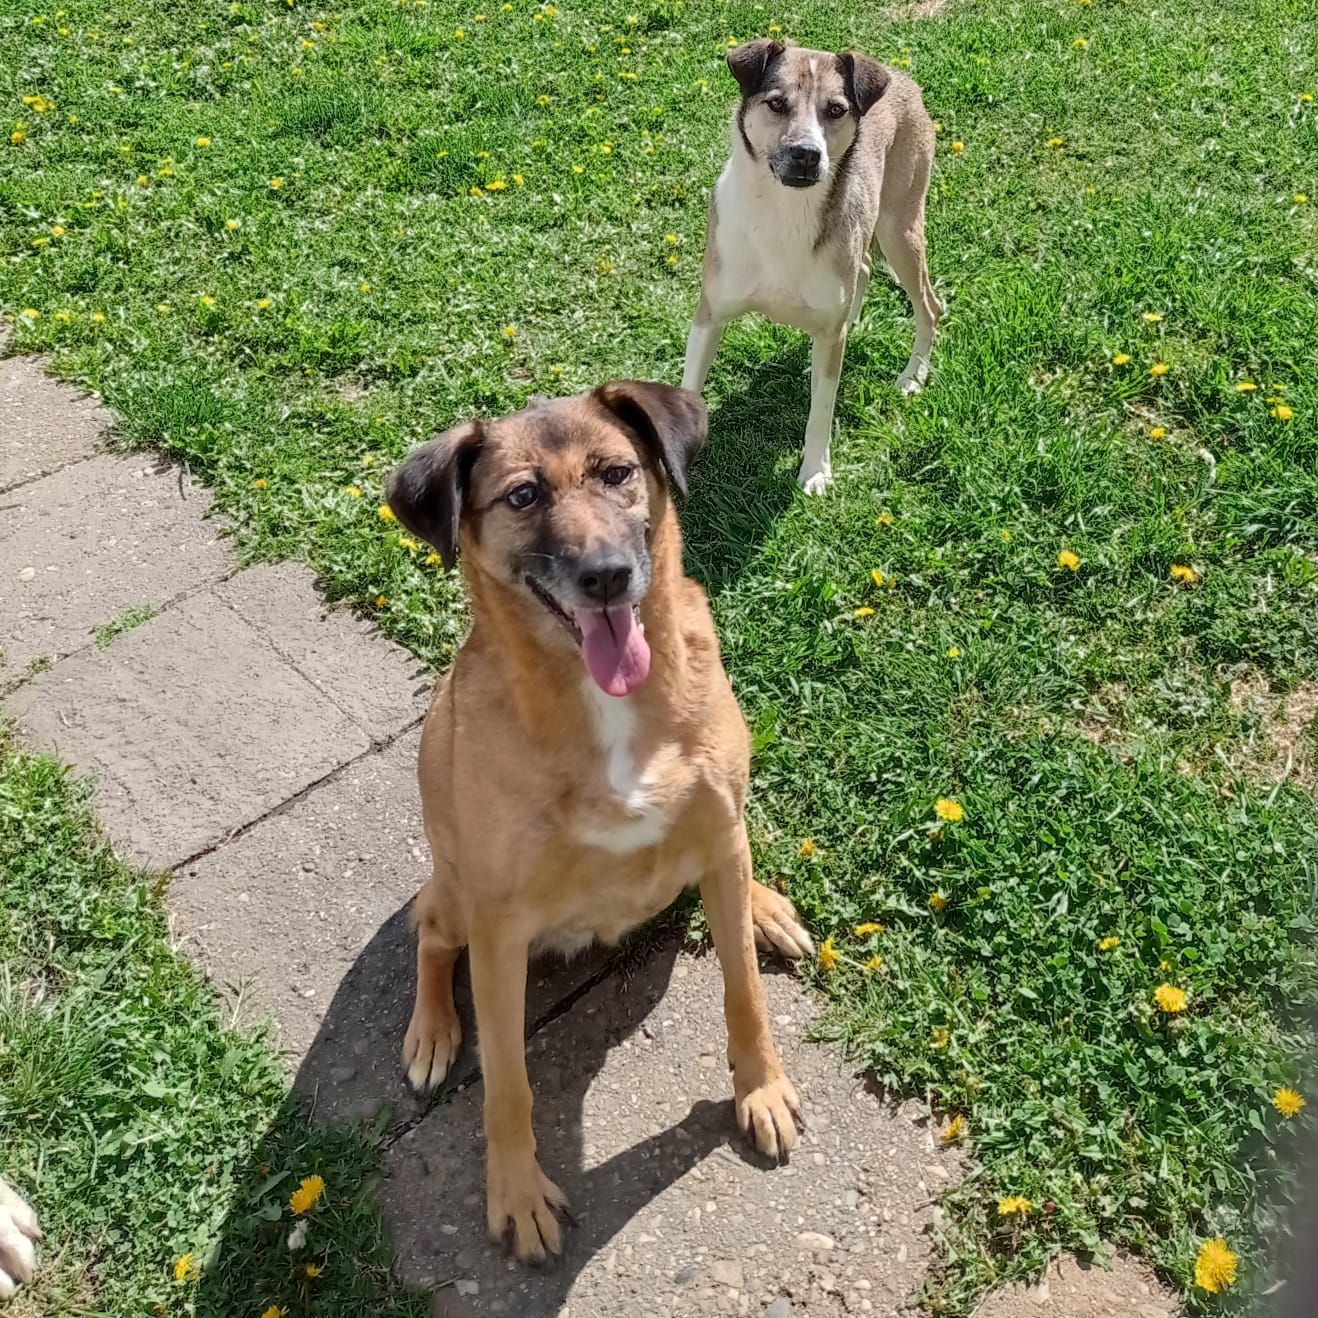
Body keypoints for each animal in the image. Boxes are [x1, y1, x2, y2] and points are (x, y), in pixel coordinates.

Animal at [386, 381, 814, 1262]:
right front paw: (517, 1194)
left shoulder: (718, 833)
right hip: (455, 893)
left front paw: (761, 1090)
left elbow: (745, 995)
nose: (609, 577)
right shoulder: (500, 926)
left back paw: (765, 909)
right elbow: (507, 1083)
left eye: (617, 472)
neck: (607, 703)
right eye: (522, 496)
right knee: (430, 936)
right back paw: (433, 1031)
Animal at [682, 38, 943, 495]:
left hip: (900, 229)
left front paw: (816, 471)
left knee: (929, 306)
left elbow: (821, 409)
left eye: (836, 109)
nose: (806, 154)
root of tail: (901, 77)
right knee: (865, 271)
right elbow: (689, 386)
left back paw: (914, 375)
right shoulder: (709, 314)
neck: (782, 213)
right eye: (776, 103)